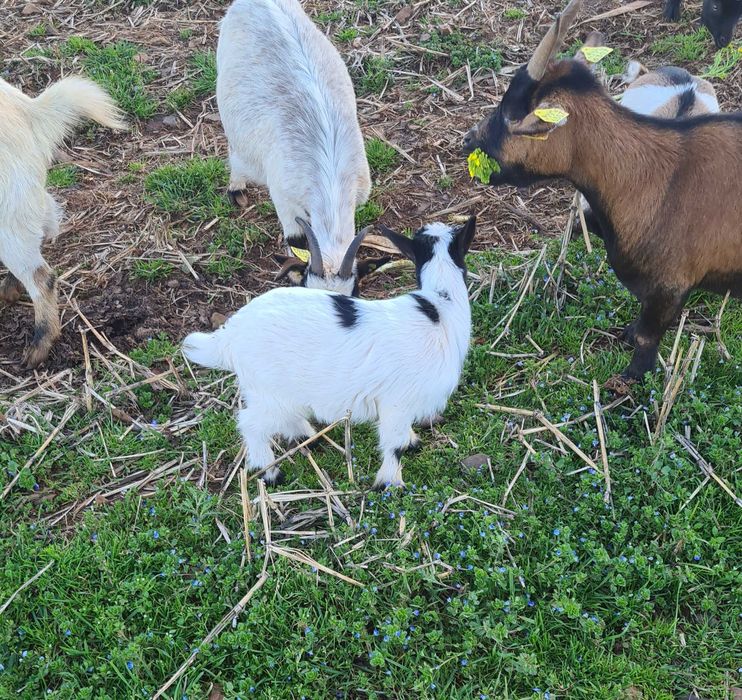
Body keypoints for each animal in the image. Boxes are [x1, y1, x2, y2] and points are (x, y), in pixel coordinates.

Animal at [182, 216, 477, 488]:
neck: (439, 308)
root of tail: (229, 335)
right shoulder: (397, 401)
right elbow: (396, 444)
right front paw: (389, 483)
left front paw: (412, 445)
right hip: (269, 391)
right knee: (250, 423)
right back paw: (270, 472)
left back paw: (305, 437)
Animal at [216, 0, 387, 296]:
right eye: (308, 287)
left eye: (354, 293)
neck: (330, 175)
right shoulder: (284, 199)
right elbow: (295, 240)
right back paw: (236, 188)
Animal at [463, 0, 742, 383]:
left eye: (508, 113)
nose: (468, 140)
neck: (655, 176)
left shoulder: (670, 286)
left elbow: (647, 337)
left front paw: (629, 381)